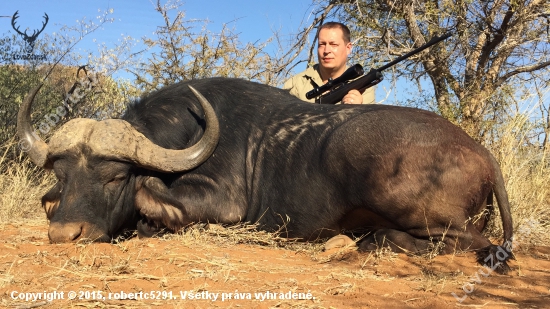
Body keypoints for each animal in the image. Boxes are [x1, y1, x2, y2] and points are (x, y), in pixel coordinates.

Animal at [18, 77, 516, 272]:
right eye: (64, 178)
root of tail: (481, 152)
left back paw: (360, 241)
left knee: (464, 242)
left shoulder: (226, 206)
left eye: (115, 177)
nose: (65, 235)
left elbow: (153, 200)